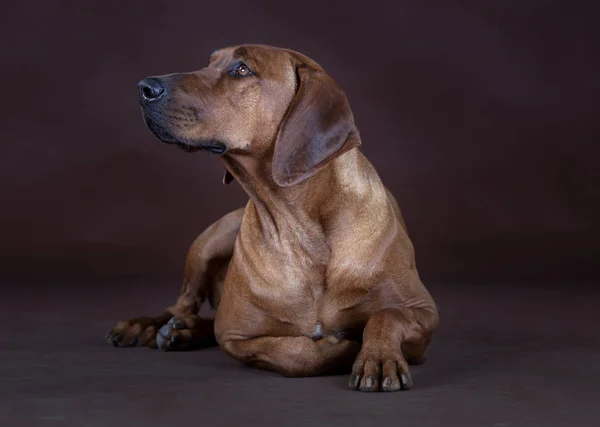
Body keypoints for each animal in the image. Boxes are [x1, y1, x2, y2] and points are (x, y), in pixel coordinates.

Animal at [105, 45, 438, 392]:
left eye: (242, 70)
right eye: (210, 63)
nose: (144, 87)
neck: (302, 231)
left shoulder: (424, 312)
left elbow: (386, 317)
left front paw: (379, 356)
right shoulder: (234, 334)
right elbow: (298, 354)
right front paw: (343, 347)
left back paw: (183, 330)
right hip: (209, 241)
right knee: (181, 304)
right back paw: (148, 326)